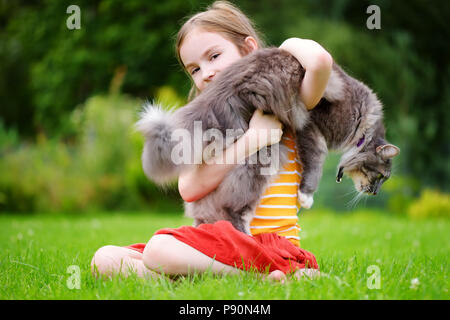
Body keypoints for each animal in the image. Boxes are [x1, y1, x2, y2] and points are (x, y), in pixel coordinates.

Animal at [135, 47, 400, 232]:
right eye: (380, 176)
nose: (375, 193)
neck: (363, 127)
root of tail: (221, 90)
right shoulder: (311, 126)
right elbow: (315, 165)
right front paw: (306, 197)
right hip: (263, 157)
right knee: (232, 209)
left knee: (203, 209)